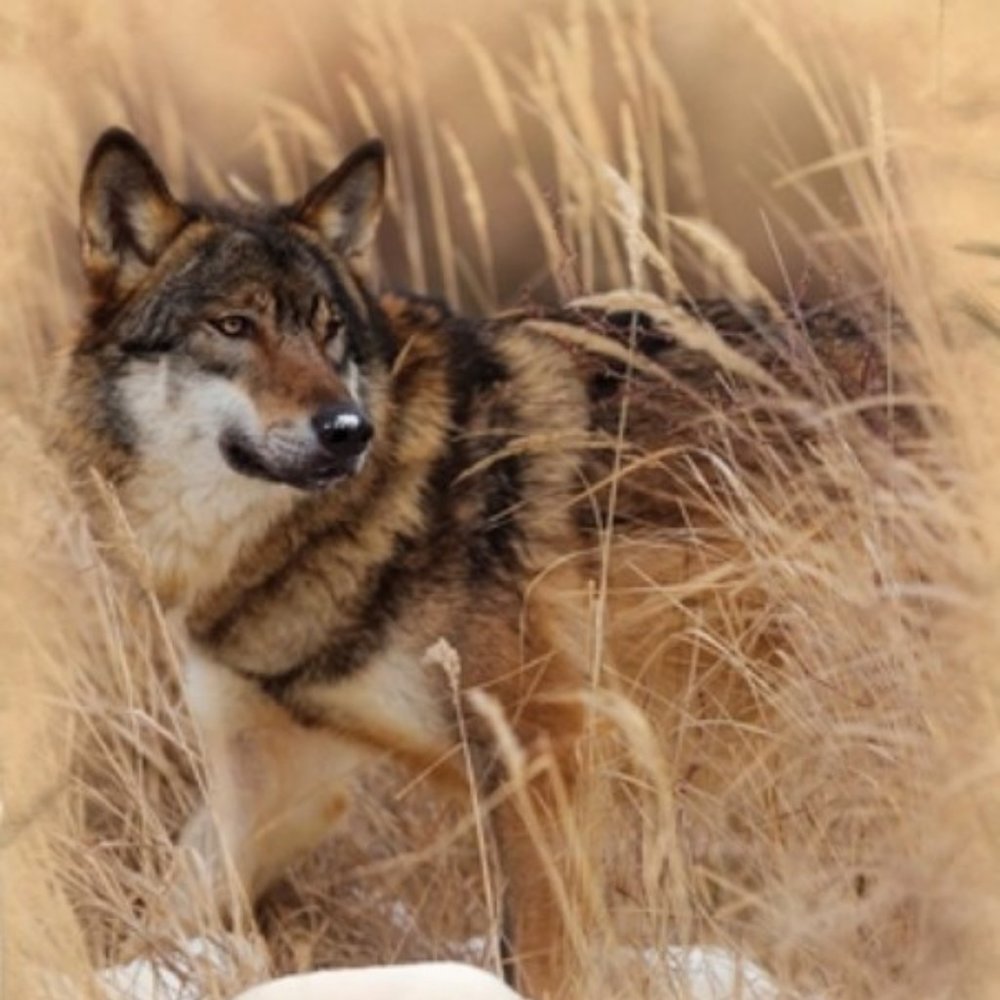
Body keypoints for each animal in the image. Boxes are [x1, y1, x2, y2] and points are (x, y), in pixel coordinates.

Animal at [62, 128, 892, 998]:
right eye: (232, 325)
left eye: (329, 330)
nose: (346, 430)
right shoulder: (271, 775)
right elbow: (157, 918)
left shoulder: (545, 754)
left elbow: (542, 961)